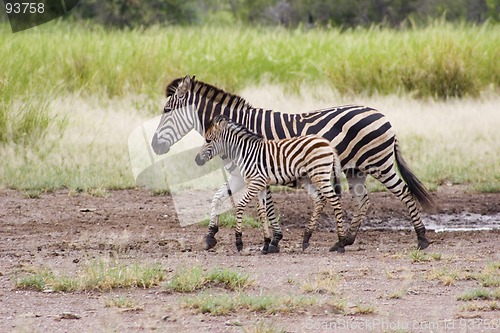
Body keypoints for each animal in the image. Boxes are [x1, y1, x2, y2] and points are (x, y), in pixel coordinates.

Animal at [193, 115, 346, 253]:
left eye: (208, 140)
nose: (197, 161)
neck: (245, 152)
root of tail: (327, 143)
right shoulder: (259, 185)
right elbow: (261, 211)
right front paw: (266, 243)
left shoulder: (255, 183)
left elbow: (241, 206)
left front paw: (239, 242)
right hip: (307, 178)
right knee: (320, 200)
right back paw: (306, 239)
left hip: (320, 175)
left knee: (335, 201)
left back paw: (340, 243)